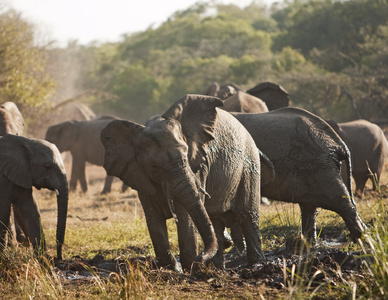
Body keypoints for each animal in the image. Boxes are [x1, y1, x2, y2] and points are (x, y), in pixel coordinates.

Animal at [100, 94, 264, 270]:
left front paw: (190, 267)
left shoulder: (198, 166)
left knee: (248, 217)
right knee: (216, 220)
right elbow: (153, 219)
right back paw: (218, 267)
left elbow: (186, 216)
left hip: (250, 164)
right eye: (153, 167)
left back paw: (255, 265)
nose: (200, 258)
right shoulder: (140, 176)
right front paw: (173, 268)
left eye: (186, 156)